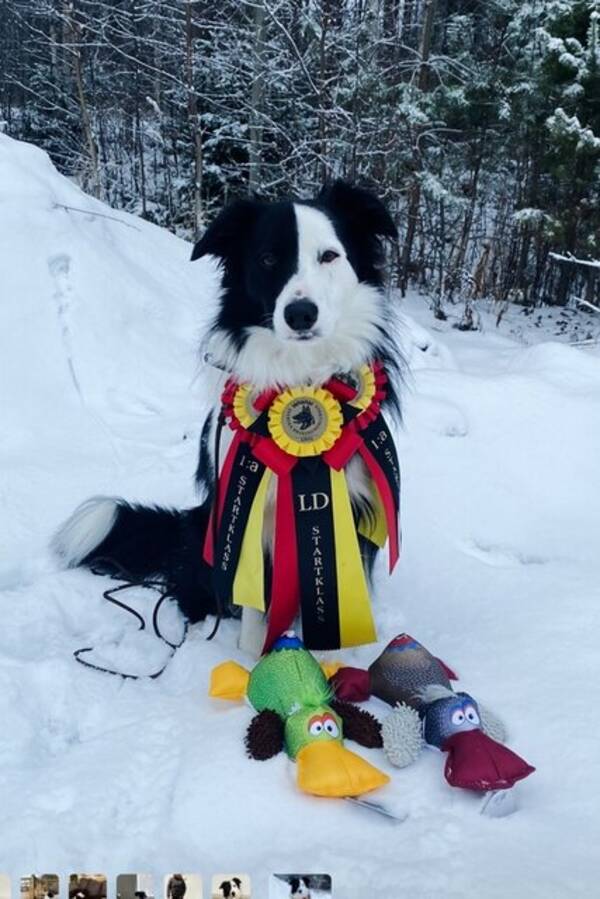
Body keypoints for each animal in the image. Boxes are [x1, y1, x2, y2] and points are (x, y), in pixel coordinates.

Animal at [51, 179, 398, 652]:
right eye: (268, 258)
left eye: (329, 256)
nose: (300, 314)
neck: (301, 376)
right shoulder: (246, 513)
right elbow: (252, 608)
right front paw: (251, 658)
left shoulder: (357, 504)